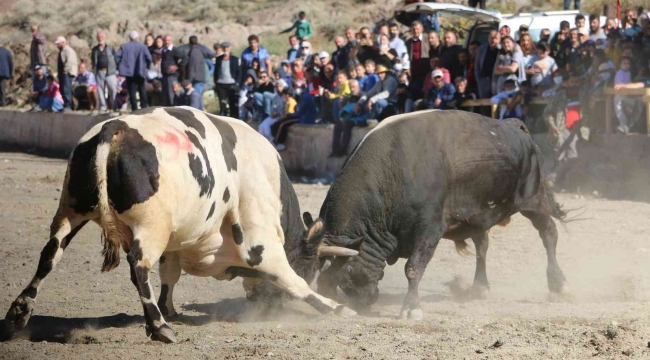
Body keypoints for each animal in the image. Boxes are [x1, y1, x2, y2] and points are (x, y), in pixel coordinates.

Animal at [3, 106, 354, 344]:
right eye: (312, 266)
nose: (267, 308)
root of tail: (114, 128)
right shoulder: (261, 242)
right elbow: (295, 282)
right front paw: (337, 308)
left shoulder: (175, 243)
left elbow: (170, 274)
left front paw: (169, 307)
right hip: (150, 226)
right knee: (138, 267)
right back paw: (159, 327)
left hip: (71, 209)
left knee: (50, 255)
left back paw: (19, 312)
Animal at [304, 110, 568, 320]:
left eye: (348, 270)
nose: (361, 304)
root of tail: (516, 127)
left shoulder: (429, 228)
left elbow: (413, 268)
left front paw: (411, 308)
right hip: (477, 216)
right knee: (482, 245)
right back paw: (479, 287)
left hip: (534, 200)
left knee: (549, 233)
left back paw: (557, 285)